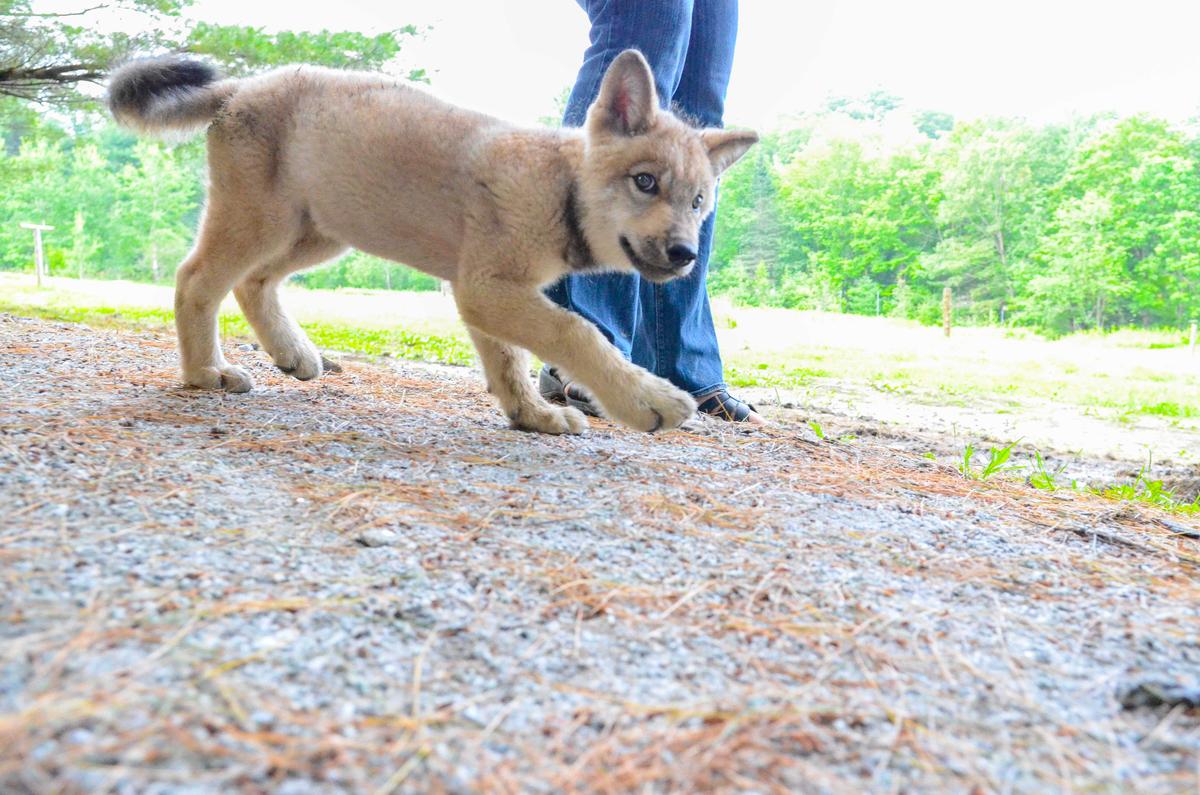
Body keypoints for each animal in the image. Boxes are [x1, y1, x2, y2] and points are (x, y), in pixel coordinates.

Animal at [107, 50, 757, 434]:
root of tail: (240, 88)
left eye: (699, 203)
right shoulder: (486, 289)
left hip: (322, 230)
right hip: (262, 222)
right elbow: (578, 334)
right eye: (646, 182)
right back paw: (205, 373)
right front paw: (647, 399)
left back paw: (293, 353)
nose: (686, 255)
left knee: (252, 283)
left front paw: (532, 415)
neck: (558, 187)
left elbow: (510, 364)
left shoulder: (488, 295)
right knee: (196, 281)